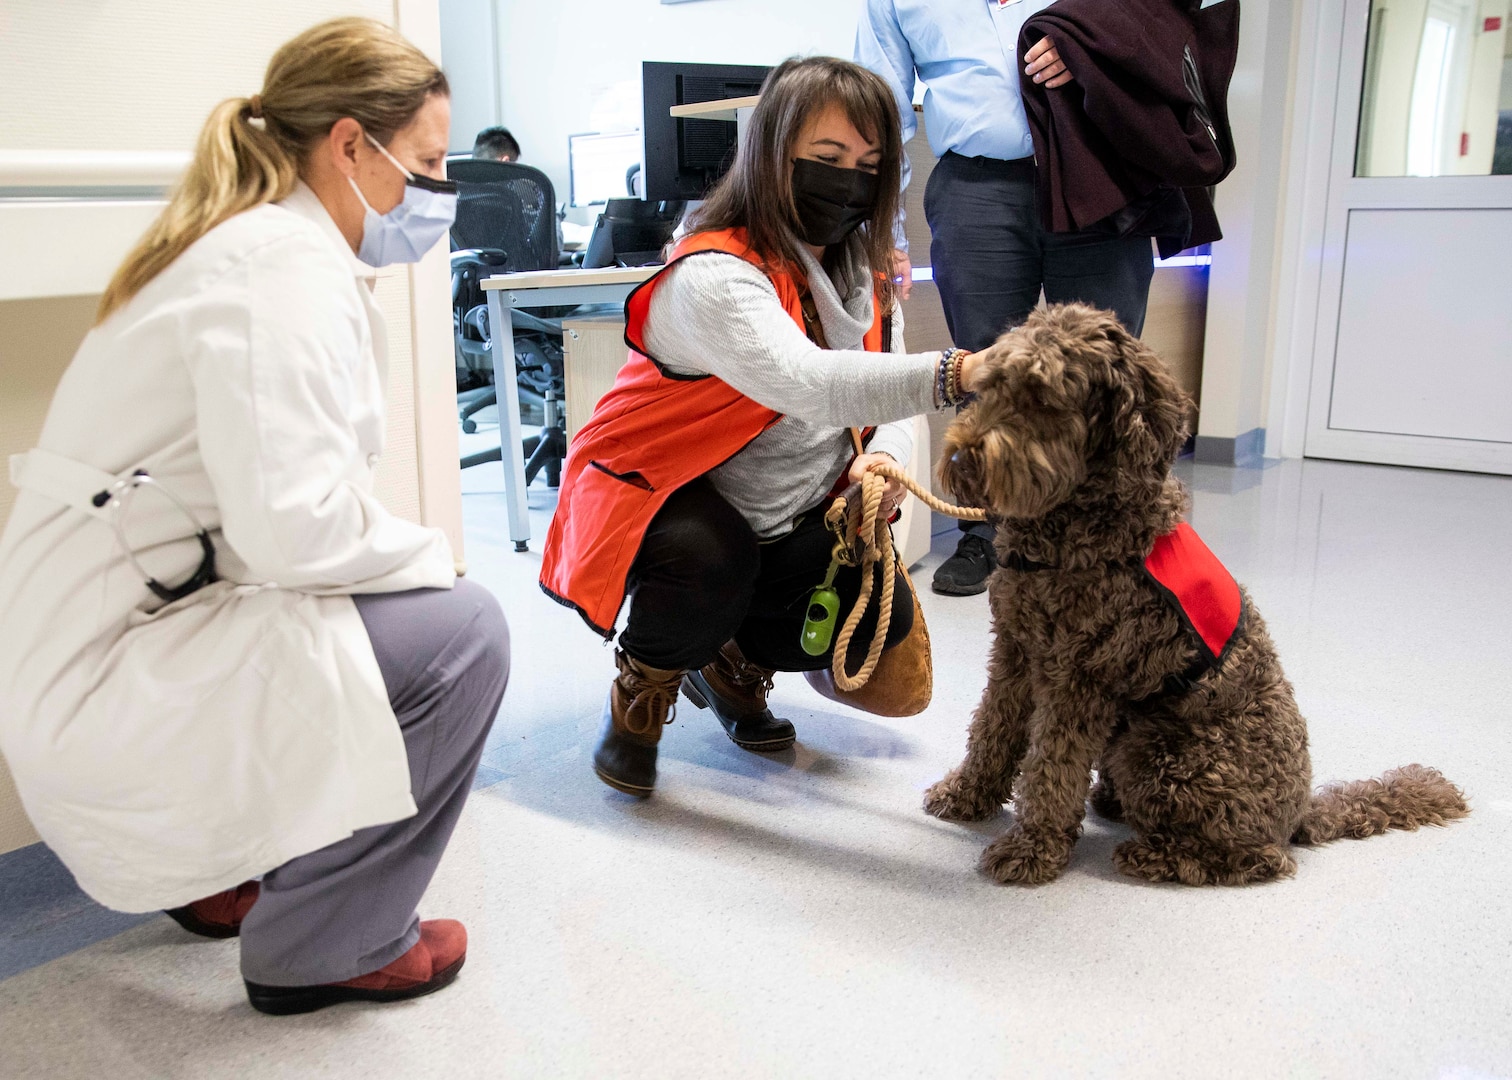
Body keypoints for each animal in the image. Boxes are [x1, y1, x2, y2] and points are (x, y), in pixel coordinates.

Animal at [925, 301, 1469, 883]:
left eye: (1044, 399)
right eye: (989, 387)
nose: (958, 459)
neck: (1076, 524)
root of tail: (1299, 815)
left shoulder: (1078, 677)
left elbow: (1052, 768)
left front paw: (1031, 847)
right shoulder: (1016, 649)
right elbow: (993, 728)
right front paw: (968, 794)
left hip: (1157, 752)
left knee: (1257, 858)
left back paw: (1157, 854)